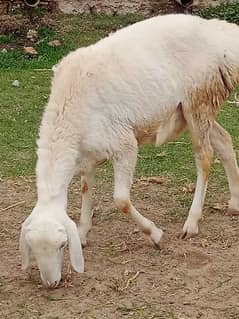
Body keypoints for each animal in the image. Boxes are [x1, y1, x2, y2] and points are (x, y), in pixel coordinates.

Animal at [19, 13, 239, 288]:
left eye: (61, 245)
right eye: (32, 248)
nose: (51, 284)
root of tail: (222, 34)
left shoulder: (123, 144)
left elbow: (121, 200)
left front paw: (155, 235)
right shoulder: (87, 155)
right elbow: (86, 189)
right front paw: (83, 231)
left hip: (198, 98)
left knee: (205, 157)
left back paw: (191, 222)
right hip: (195, 109)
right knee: (225, 140)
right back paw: (234, 203)